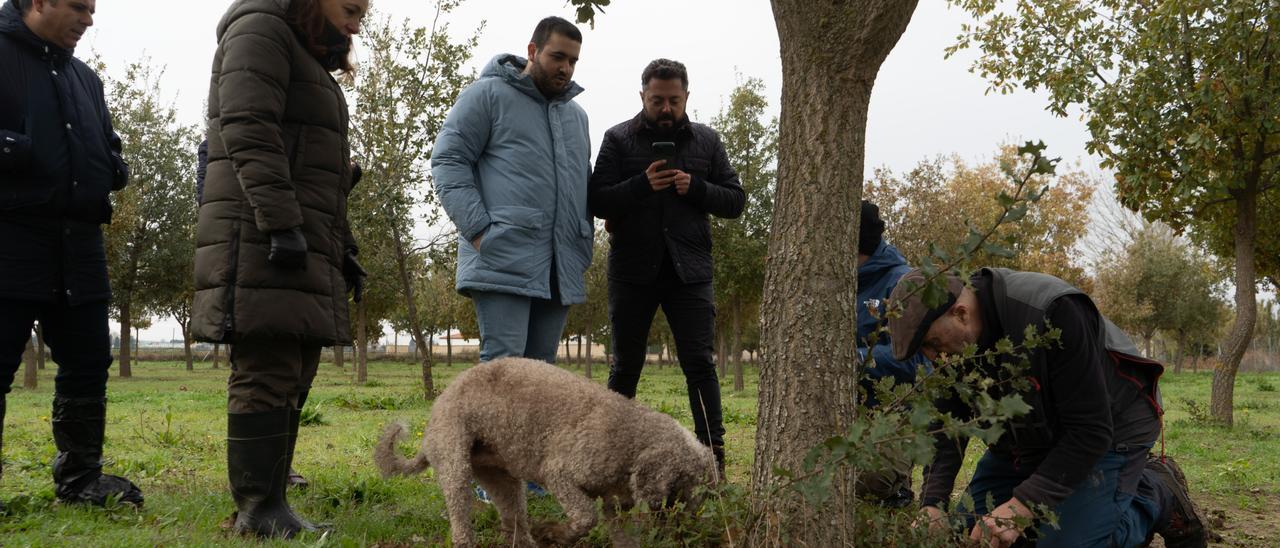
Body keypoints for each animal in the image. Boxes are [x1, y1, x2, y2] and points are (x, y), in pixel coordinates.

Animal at [373, 358, 721, 545]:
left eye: (693, 491)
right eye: (680, 488)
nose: (691, 528)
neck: (630, 439)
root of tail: (436, 410)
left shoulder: (615, 505)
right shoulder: (560, 475)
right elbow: (585, 516)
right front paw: (555, 534)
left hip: (502, 478)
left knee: (513, 520)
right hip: (454, 462)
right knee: (460, 519)